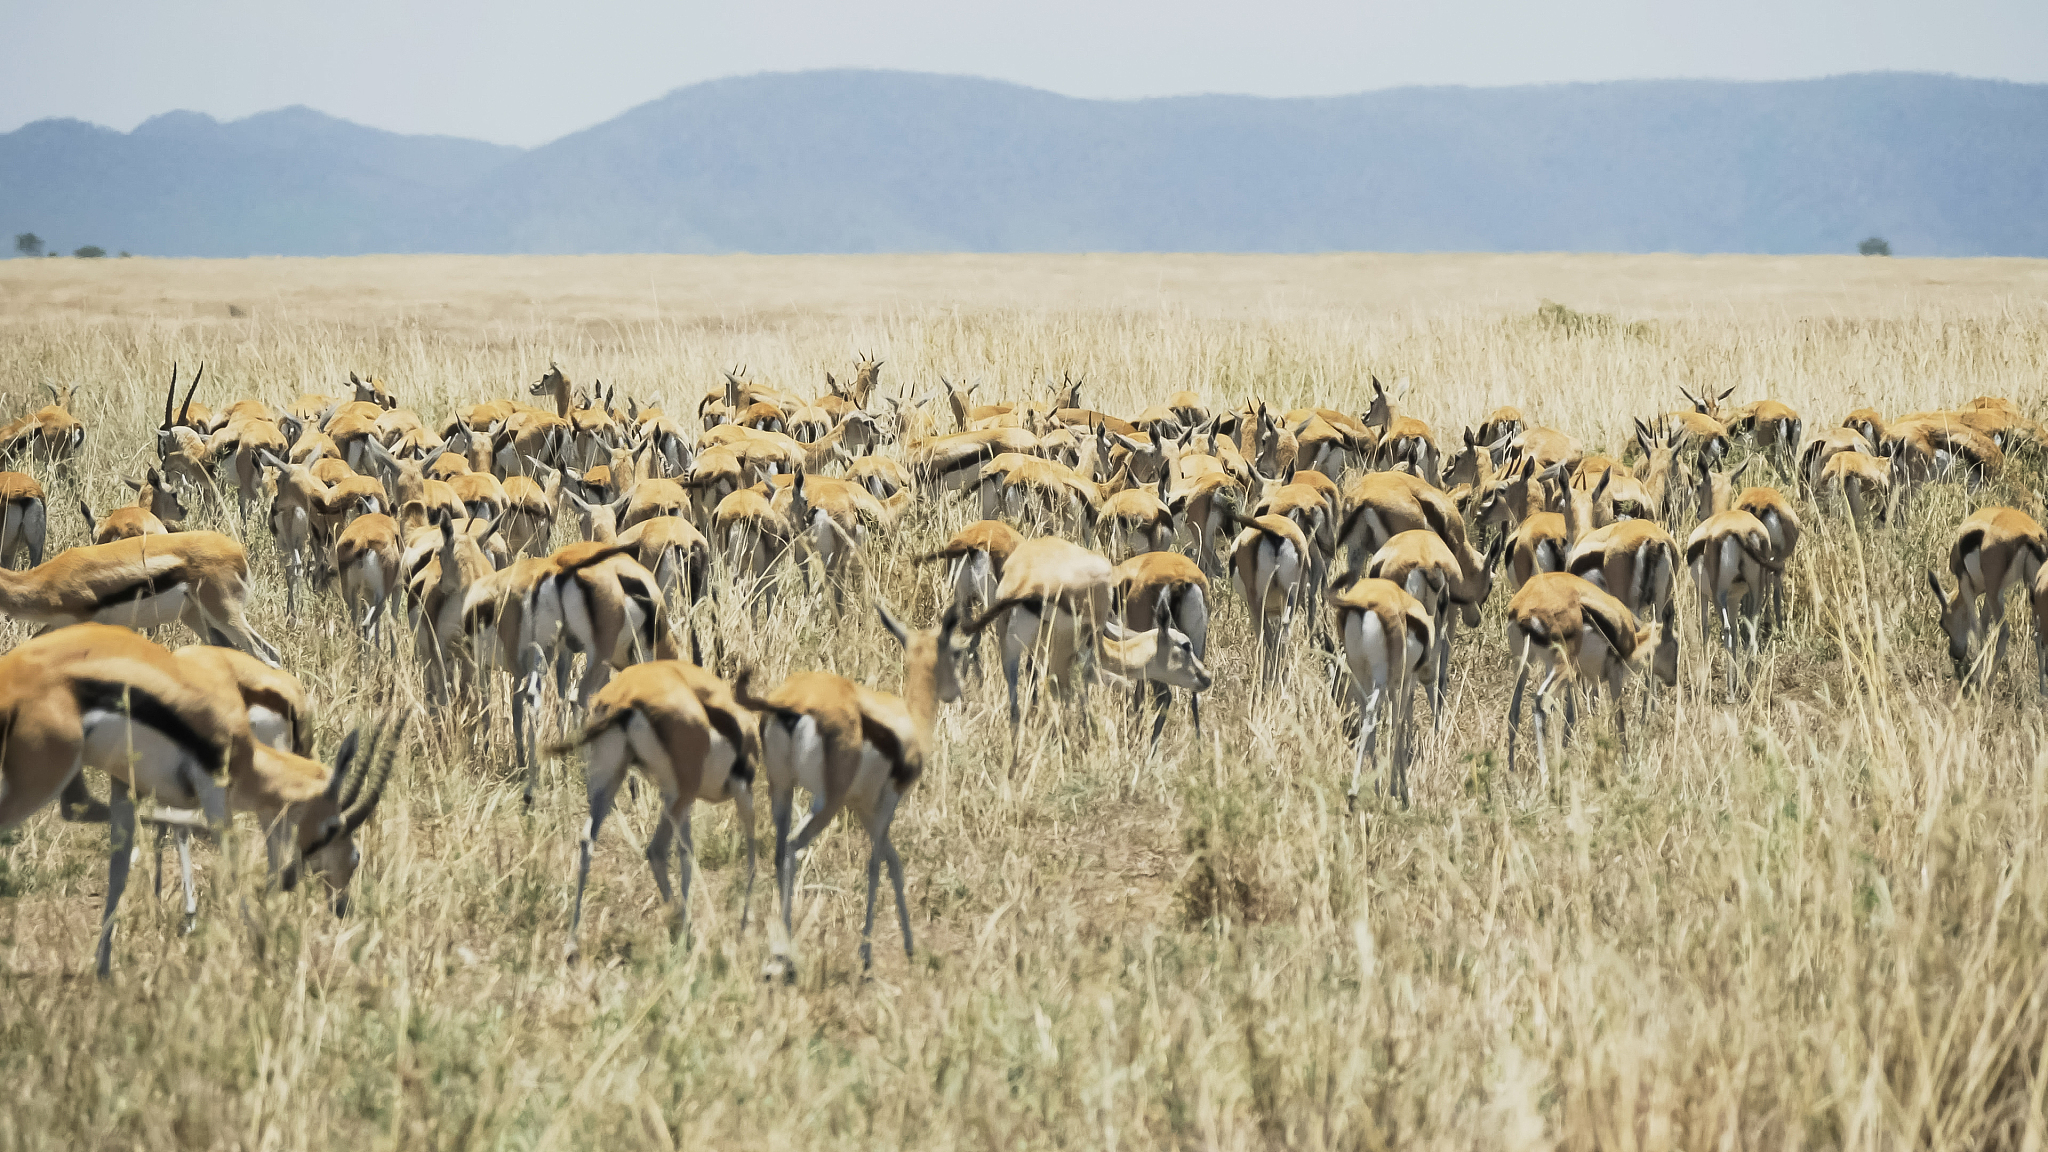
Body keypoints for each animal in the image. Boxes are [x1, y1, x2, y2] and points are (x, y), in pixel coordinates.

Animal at [553, 659, 762, 960]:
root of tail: (627, 697)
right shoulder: (740, 790)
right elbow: (752, 857)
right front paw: (744, 927)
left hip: (612, 781)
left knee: (592, 840)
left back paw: (572, 944)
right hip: (679, 793)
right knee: (671, 850)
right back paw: (686, 931)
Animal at [734, 601, 962, 977]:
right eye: (957, 652)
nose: (957, 692)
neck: (909, 720)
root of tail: (792, 704)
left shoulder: (861, 806)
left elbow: (894, 863)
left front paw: (909, 947)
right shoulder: (888, 800)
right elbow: (876, 865)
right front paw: (866, 955)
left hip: (781, 789)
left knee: (779, 850)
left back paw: (777, 952)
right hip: (826, 802)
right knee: (794, 846)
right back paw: (786, 956)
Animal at [1327, 577, 1432, 807]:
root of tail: (1364, 603)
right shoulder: (1404, 681)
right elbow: (1398, 723)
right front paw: (1400, 792)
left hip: (1360, 672)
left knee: (1366, 715)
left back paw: (1366, 787)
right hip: (1380, 678)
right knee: (1371, 717)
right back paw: (1354, 791)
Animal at [1504, 573, 1673, 784]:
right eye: (1674, 643)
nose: (1673, 677)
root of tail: (1523, 609)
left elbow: (1570, 716)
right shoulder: (1613, 674)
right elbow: (1619, 719)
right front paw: (1628, 769)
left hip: (1526, 661)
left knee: (1514, 710)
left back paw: (1512, 777)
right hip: (1563, 666)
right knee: (1541, 702)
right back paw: (1545, 778)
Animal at [1929, 507, 2046, 685]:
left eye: (1941, 622)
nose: (1955, 653)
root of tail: (2031, 535)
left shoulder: (1967, 583)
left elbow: (1976, 627)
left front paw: (1977, 675)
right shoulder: (1996, 592)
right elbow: (1983, 624)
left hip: (1995, 589)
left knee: (2004, 631)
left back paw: (1987, 682)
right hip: (2031, 586)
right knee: (2039, 636)